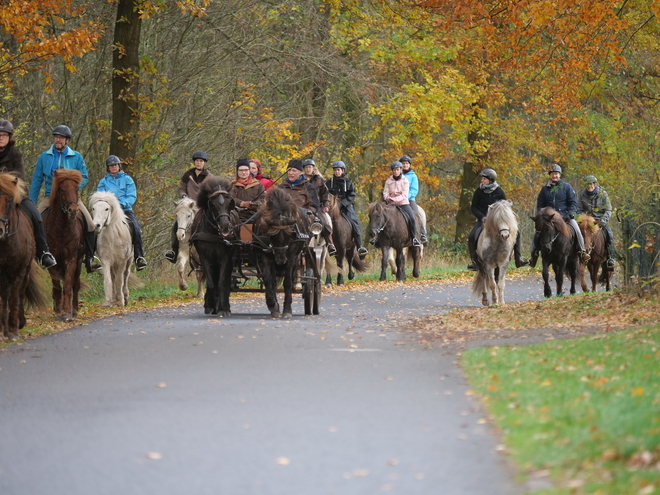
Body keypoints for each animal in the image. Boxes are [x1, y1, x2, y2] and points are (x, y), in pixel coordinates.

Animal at [0, 173, 48, 340]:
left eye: (8, 201)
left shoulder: (19, 272)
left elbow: (15, 298)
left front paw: (13, 331)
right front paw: (3, 331)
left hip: (25, 271)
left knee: (19, 293)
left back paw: (19, 322)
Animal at [42, 169, 85, 322]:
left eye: (77, 189)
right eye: (62, 190)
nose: (73, 210)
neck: (62, 229)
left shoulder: (71, 260)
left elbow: (67, 286)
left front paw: (66, 313)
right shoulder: (52, 260)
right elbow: (56, 286)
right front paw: (58, 312)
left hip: (79, 262)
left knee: (76, 285)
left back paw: (75, 311)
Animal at [189, 178, 238, 318]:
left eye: (229, 202)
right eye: (212, 203)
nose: (225, 226)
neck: (213, 233)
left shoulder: (225, 258)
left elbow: (221, 283)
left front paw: (223, 309)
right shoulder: (204, 258)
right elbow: (211, 283)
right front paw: (210, 304)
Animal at [254, 188, 314, 320]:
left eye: (289, 235)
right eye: (272, 236)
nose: (281, 260)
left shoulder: (291, 257)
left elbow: (288, 282)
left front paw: (287, 310)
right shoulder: (265, 255)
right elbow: (268, 279)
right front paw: (273, 305)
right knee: (273, 281)